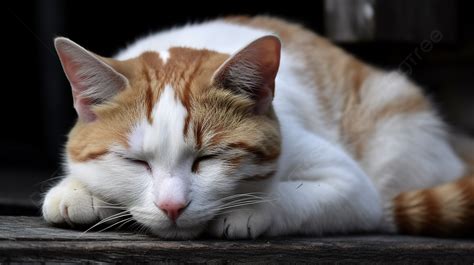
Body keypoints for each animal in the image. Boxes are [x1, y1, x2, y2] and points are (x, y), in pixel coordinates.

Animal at [41, 15, 474, 238]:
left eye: (208, 159)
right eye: (135, 162)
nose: (172, 206)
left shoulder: (353, 188)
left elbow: (294, 196)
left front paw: (249, 209)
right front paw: (76, 191)